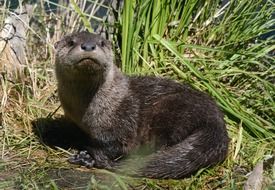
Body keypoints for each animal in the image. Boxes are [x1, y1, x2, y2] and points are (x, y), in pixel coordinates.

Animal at [53, 31, 229, 180]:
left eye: (101, 42)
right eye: (71, 42)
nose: (89, 46)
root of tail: (216, 123)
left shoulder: (122, 122)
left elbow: (117, 145)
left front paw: (87, 156)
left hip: (170, 110)